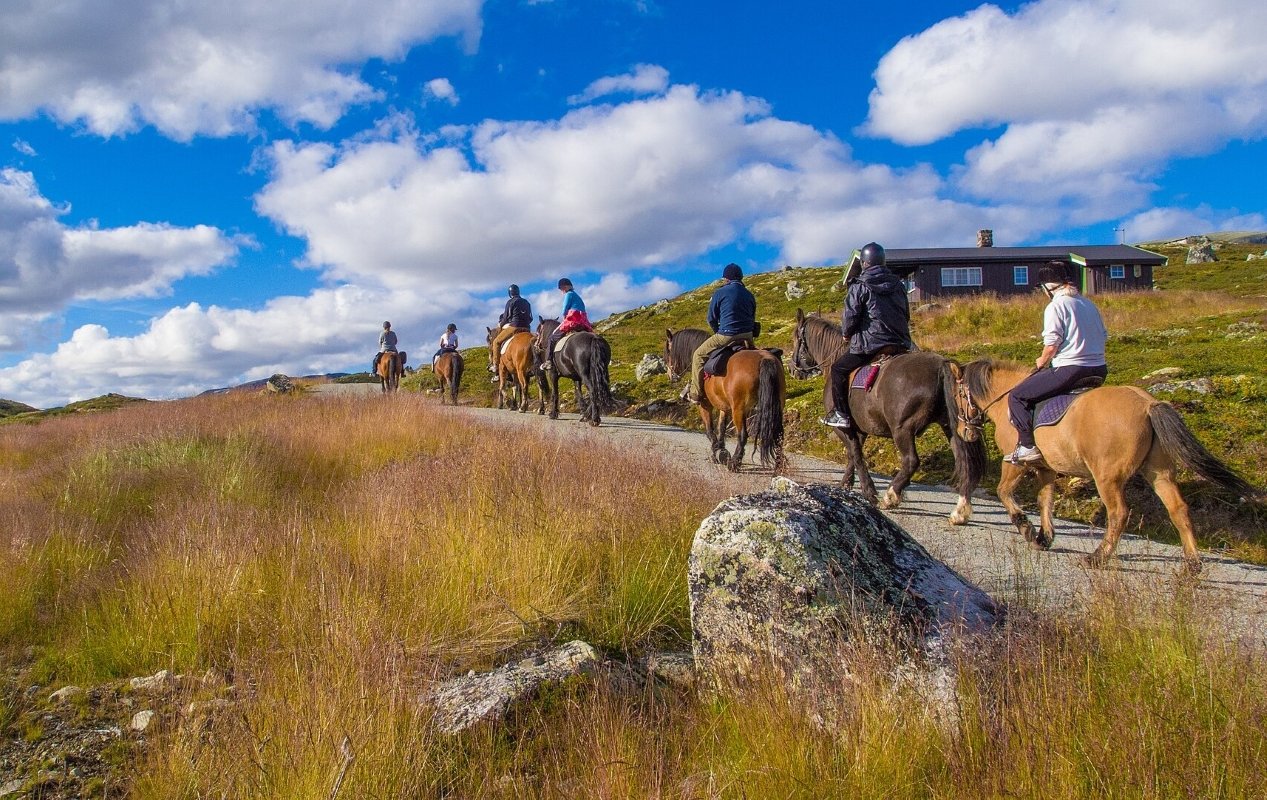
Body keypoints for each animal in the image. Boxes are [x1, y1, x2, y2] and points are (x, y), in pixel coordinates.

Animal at [664, 328, 786, 472]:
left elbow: (710, 429)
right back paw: (778, 466)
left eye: (667, 352)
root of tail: (764, 359)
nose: (670, 376)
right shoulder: (724, 406)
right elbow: (721, 427)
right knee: (779, 434)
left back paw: (734, 463)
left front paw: (716, 451)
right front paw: (720, 450)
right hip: (777, 406)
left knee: (742, 435)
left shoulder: (705, 405)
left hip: (739, 409)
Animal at [790, 309, 985, 524]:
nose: (792, 369)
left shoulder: (843, 427)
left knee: (911, 461)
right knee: (964, 462)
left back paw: (891, 496)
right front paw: (846, 485)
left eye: (795, 338)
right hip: (952, 426)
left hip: (902, 429)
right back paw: (960, 511)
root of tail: (941, 365)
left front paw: (868, 491)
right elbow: (853, 454)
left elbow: (856, 454)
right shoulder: (861, 429)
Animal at [961, 358, 1261, 573]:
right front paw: (1043, 538)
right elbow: (1045, 500)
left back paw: (1098, 557)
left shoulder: (1015, 463)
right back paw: (1192, 563)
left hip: (1107, 477)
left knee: (1119, 513)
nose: (967, 432)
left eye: (960, 394)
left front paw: (1026, 528)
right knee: (1178, 508)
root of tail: (1149, 404)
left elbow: (1004, 492)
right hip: (1159, 472)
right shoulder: (1047, 468)